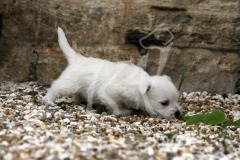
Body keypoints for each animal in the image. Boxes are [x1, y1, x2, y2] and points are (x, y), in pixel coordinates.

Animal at [43, 26, 181, 118]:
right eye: (164, 103)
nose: (178, 113)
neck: (135, 85)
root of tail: (77, 58)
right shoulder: (107, 93)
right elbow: (114, 104)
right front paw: (121, 111)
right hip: (68, 84)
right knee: (55, 87)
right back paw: (48, 100)